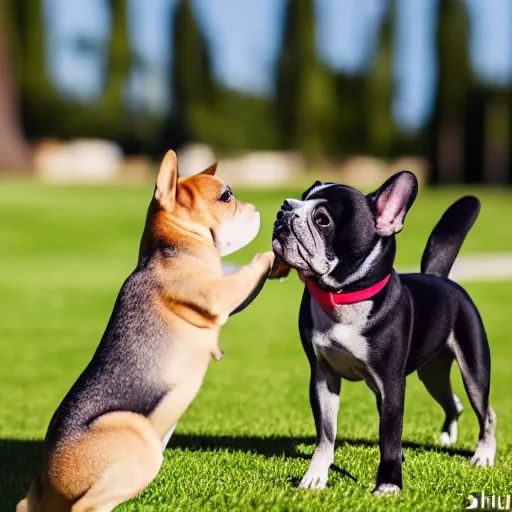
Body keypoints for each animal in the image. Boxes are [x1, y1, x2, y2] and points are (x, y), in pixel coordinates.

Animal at [18, 150, 276, 510]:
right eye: (226, 196)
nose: (258, 209)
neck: (171, 248)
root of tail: (47, 489)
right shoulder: (216, 296)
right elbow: (251, 268)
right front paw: (277, 251)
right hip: (139, 439)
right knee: (87, 505)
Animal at [272, 172, 496, 496]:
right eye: (298, 199)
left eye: (322, 219)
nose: (284, 211)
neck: (346, 297)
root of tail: (440, 278)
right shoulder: (323, 377)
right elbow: (326, 433)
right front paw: (315, 476)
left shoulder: (390, 385)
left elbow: (389, 436)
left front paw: (389, 483)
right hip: (431, 373)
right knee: (451, 400)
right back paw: (447, 437)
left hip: (473, 366)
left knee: (485, 411)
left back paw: (484, 455)